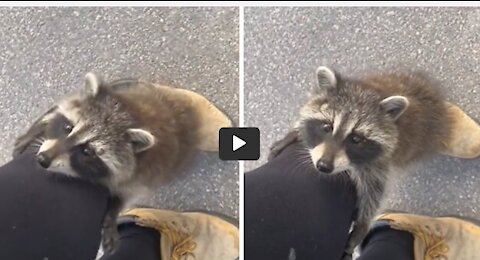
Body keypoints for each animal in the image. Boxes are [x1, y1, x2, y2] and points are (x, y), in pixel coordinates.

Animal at [13, 72, 227, 254]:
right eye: (68, 128)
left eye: (87, 151)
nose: (43, 159)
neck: (131, 113)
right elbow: (54, 112)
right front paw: (37, 130)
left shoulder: (143, 175)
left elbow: (128, 194)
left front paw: (112, 214)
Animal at [270, 66, 454, 258]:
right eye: (327, 127)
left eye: (356, 139)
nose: (324, 166)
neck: (367, 90)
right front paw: (295, 132)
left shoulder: (380, 164)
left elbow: (375, 192)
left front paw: (363, 224)